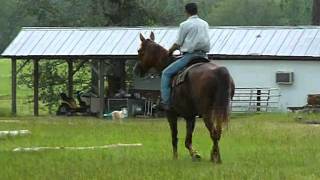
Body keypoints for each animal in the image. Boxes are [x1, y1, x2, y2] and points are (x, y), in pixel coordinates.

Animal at [135, 32, 235, 163]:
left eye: (139, 51)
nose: (136, 70)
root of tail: (220, 71)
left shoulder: (171, 114)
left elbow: (175, 137)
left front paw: (176, 157)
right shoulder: (190, 116)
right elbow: (188, 140)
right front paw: (195, 155)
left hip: (207, 112)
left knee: (213, 133)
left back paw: (216, 158)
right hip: (219, 109)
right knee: (218, 132)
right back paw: (214, 156)